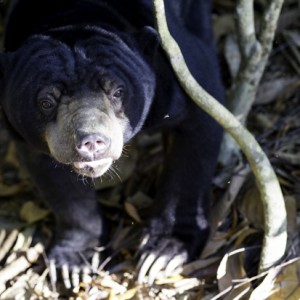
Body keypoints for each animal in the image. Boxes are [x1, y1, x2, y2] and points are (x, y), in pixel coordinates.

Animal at [0, 0, 224, 282]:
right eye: (46, 102)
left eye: (117, 91)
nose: (92, 142)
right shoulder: (25, 133)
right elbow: (61, 188)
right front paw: (74, 263)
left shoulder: (174, 72)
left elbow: (196, 131)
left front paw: (163, 254)